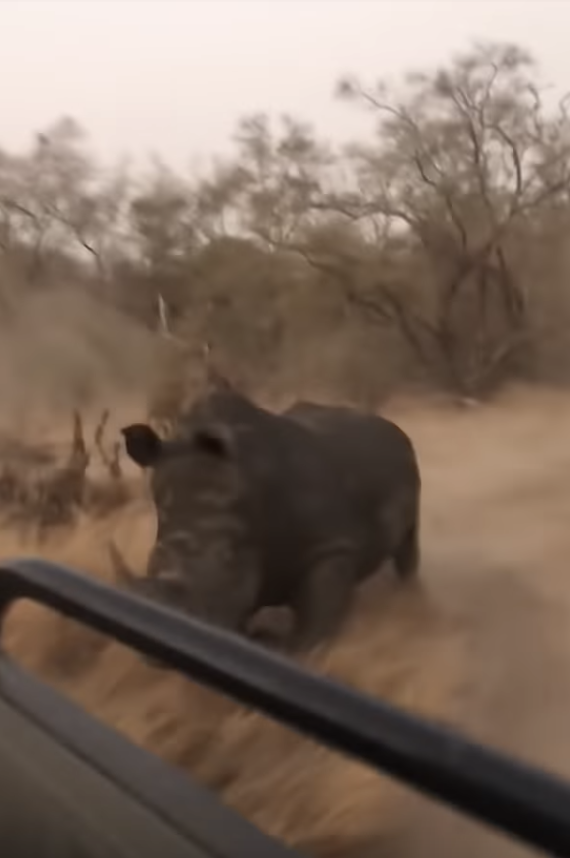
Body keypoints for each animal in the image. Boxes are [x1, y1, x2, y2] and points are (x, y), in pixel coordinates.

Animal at [110, 387, 421, 651]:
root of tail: (391, 424)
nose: (164, 630)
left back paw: (407, 599)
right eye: (153, 557)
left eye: (226, 557)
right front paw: (258, 639)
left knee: (407, 545)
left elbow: (312, 632)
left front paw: (289, 649)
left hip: (406, 455)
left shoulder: (331, 546)